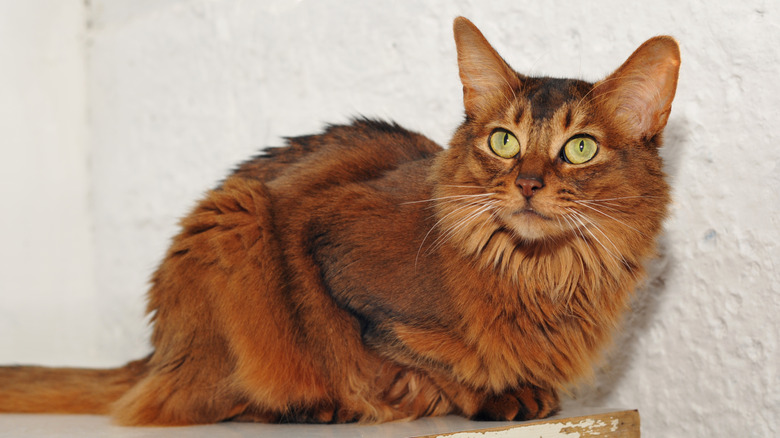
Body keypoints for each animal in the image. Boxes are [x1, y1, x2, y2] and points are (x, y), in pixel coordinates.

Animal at [0, 16, 680, 424]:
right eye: (504, 142)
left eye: (580, 148)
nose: (529, 184)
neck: (541, 273)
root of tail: (157, 351)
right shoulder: (330, 250)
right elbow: (409, 352)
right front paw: (489, 394)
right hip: (235, 222)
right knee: (198, 403)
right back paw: (311, 407)